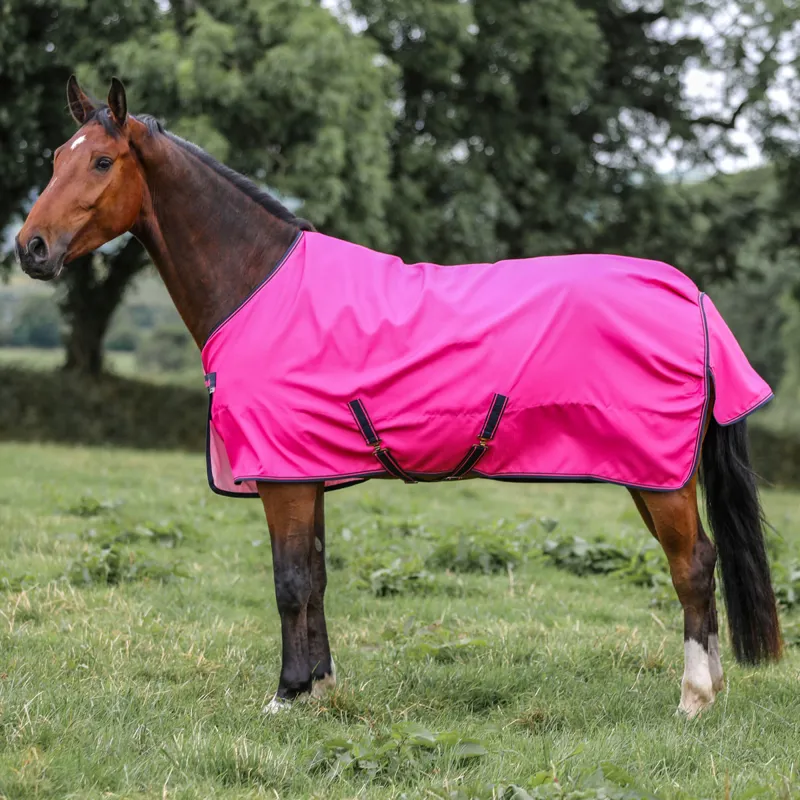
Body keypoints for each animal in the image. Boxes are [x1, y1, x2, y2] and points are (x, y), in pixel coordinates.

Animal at [15, 76, 782, 719]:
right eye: (55, 157)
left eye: (102, 162)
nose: (30, 249)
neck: (259, 283)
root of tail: (690, 294)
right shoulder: (307, 472)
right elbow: (316, 577)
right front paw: (321, 688)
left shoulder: (281, 476)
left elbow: (289, 581)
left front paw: (285, 697)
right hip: (652, 472)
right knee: (702, 561)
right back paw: (711, 689)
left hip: (657, 474)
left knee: (692, 565)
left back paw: (692, 699)